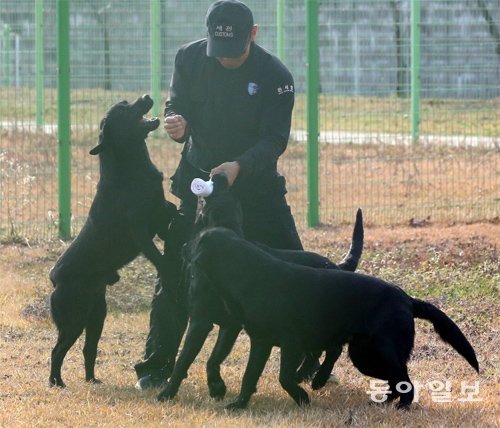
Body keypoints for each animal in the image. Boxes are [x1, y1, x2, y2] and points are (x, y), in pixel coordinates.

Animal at [48, 94, 178, 388]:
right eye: (123, 110)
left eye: (126, 102)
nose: (146, 97)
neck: (130, 168)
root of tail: (54, 277)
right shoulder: (139, 229)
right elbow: (156, 255)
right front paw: (169, 269)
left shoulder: (157, 210)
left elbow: (170, 209)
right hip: (73, 320)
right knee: (57, 350)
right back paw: (56, 382)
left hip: (97, 315)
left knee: (89, 348)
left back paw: (91, 379)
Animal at [159, 174, 364, 402]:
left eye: (204, 200)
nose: (220, 175)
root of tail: (337, 266)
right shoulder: (229, 325)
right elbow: (214, 358)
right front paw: (216, 386)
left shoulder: (201, 320)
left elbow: (183, 360)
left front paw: (167, 393)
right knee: (315, 352)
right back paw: (301, 375)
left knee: (332, 350)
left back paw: (316, 378)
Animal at [179, 227, 476, 412]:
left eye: (195, 240)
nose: (182, 245)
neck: (249, 275)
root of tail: (407, 299)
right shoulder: (261, 341)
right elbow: (249, 376)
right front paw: (239, 405)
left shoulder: (291, 343)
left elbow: (284, 377)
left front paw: (301, 397)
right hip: (364, 355)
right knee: (396, 381)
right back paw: (382, 404)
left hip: (377, 353)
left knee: (405, 381)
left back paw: (402, 409)